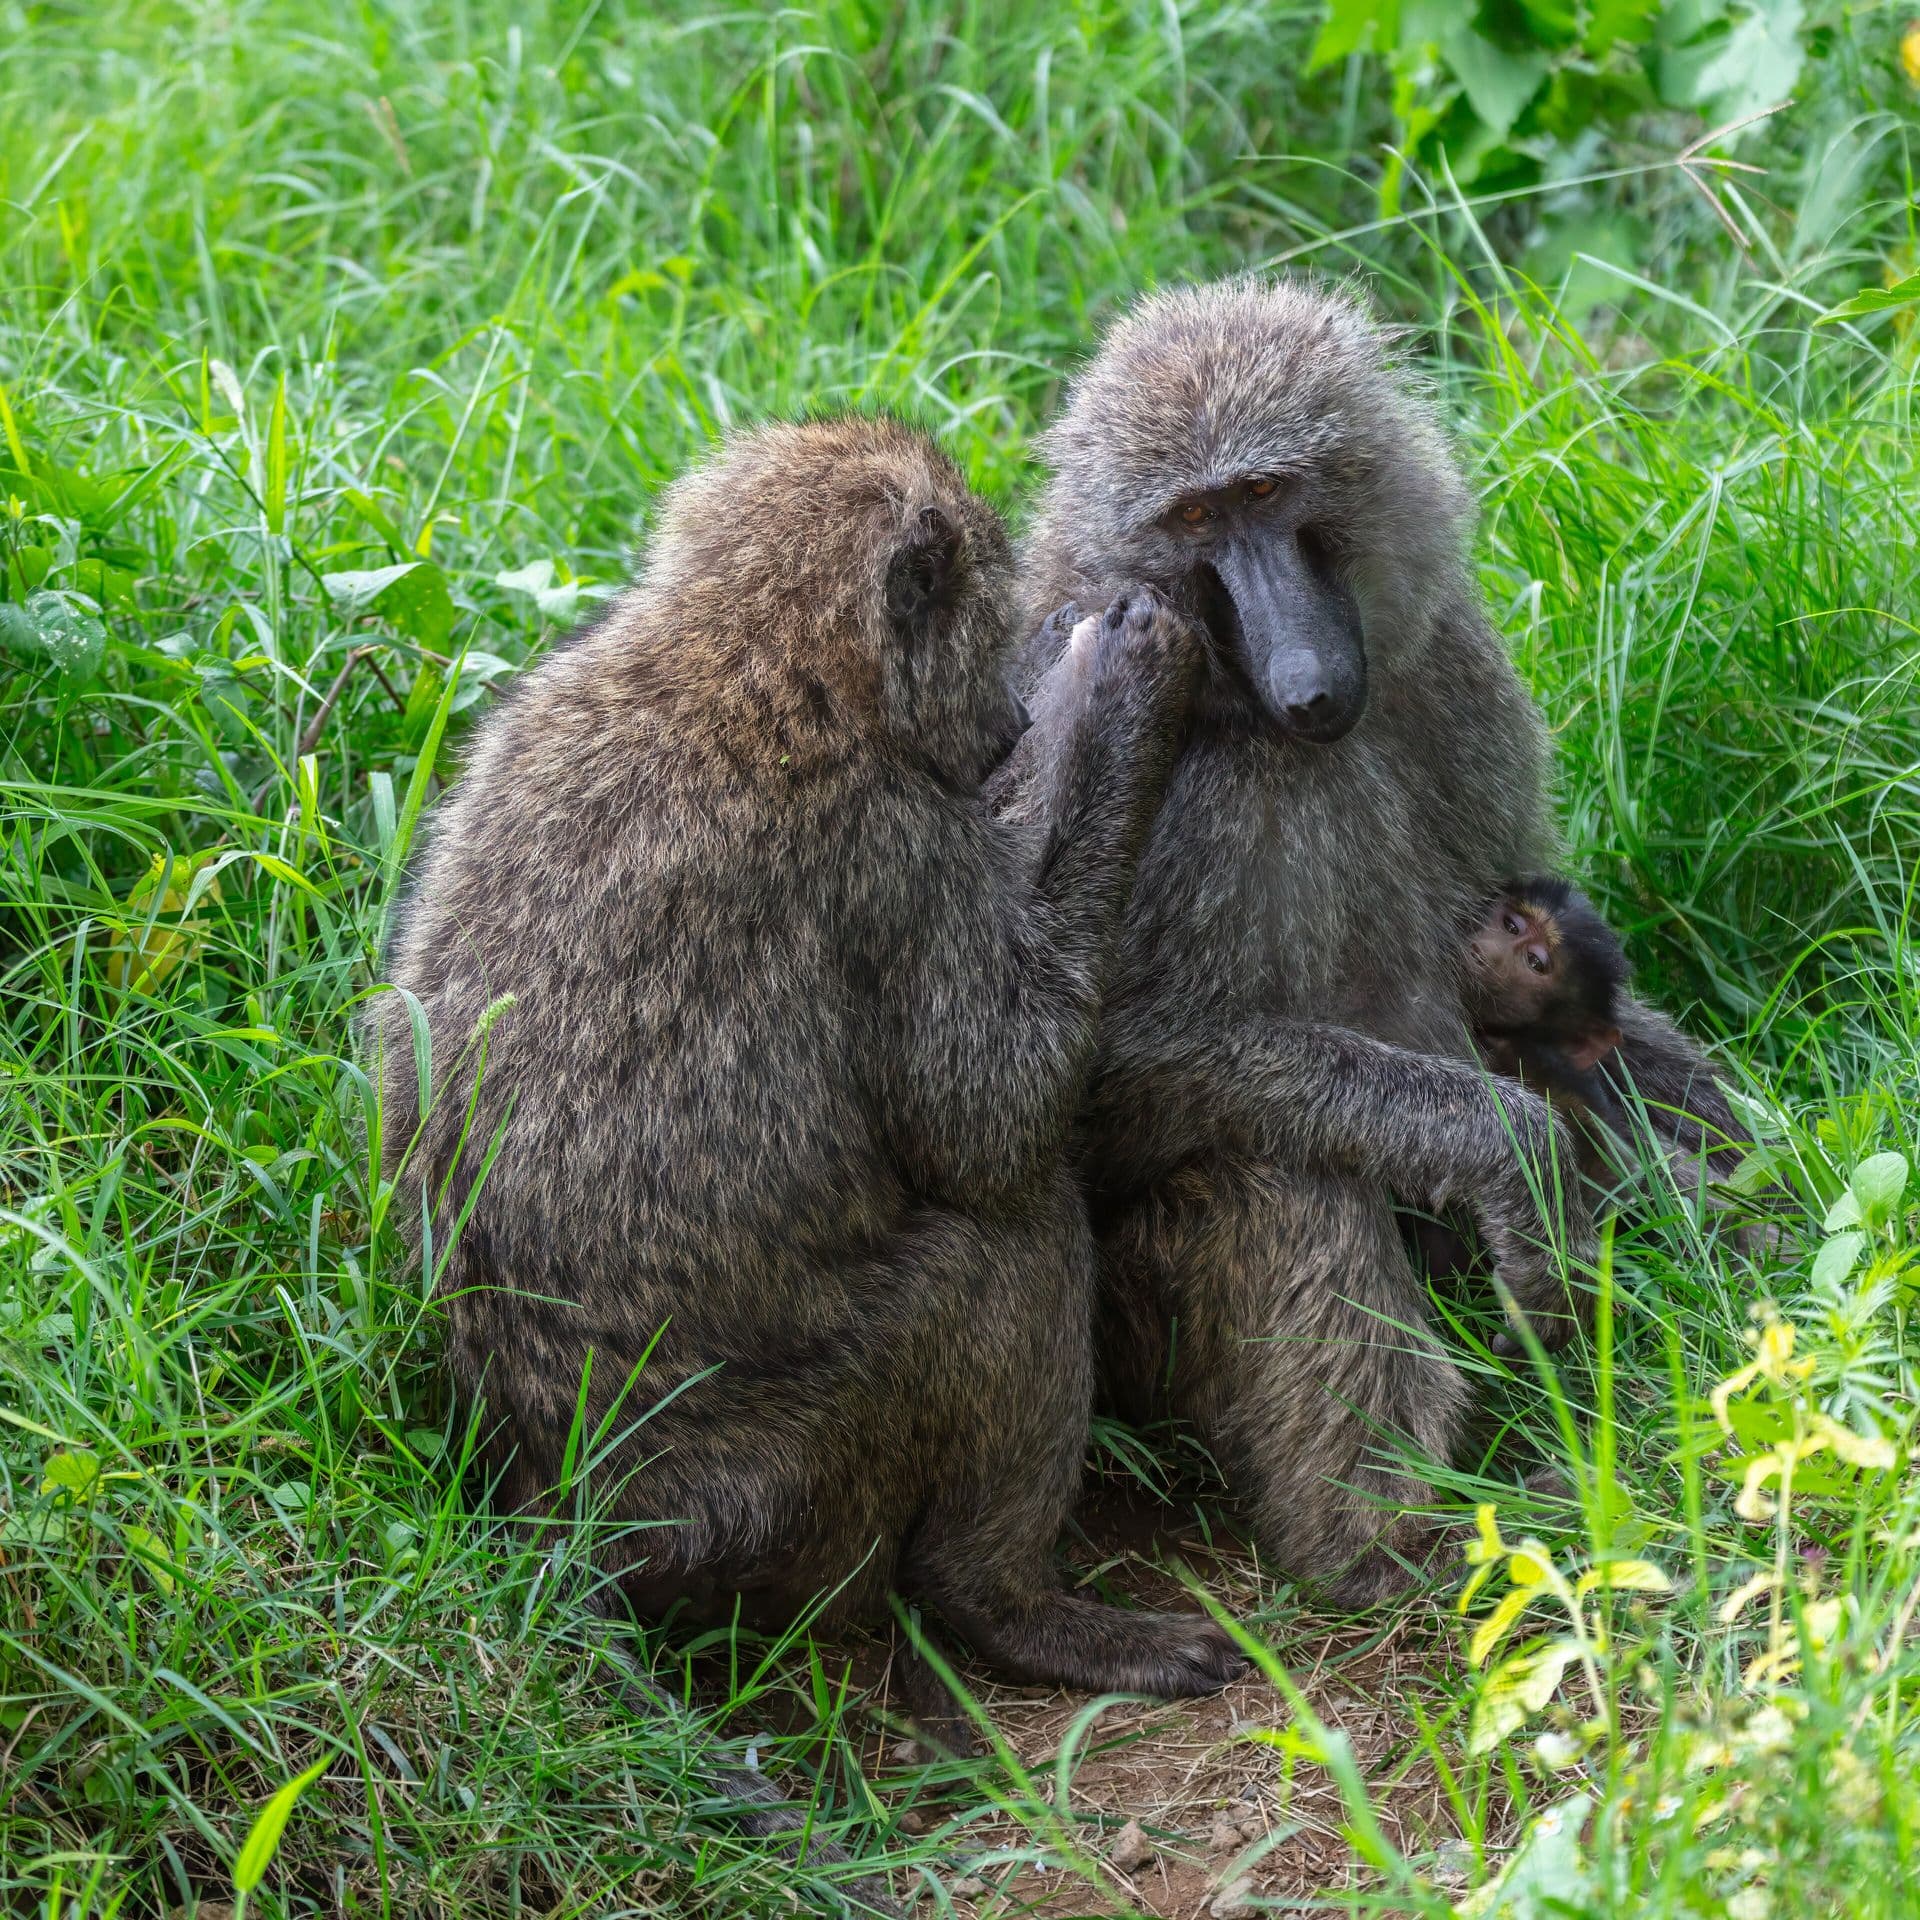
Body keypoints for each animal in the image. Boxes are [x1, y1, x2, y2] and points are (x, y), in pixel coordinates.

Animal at [367, 414, 1247, 1717]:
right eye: (985, 624)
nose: (1007, 725)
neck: (743, 659)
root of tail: (591, 1516)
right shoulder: (895, 847)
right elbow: (995, 1120)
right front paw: (1121, 698)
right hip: (811, 1475)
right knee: (1006, 1243)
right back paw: (1015, 1610)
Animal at [990, 277, 1749, 1606]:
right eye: (1195, 517)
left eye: (1264, 492)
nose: (1305, 683)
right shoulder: (1156, 770)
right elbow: (1096, 1075)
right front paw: (1509, 1147)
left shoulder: (1452, 671)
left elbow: (1565, 993)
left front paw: (1756, 1177)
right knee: (1277, 1170)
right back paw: (1394, 1543)